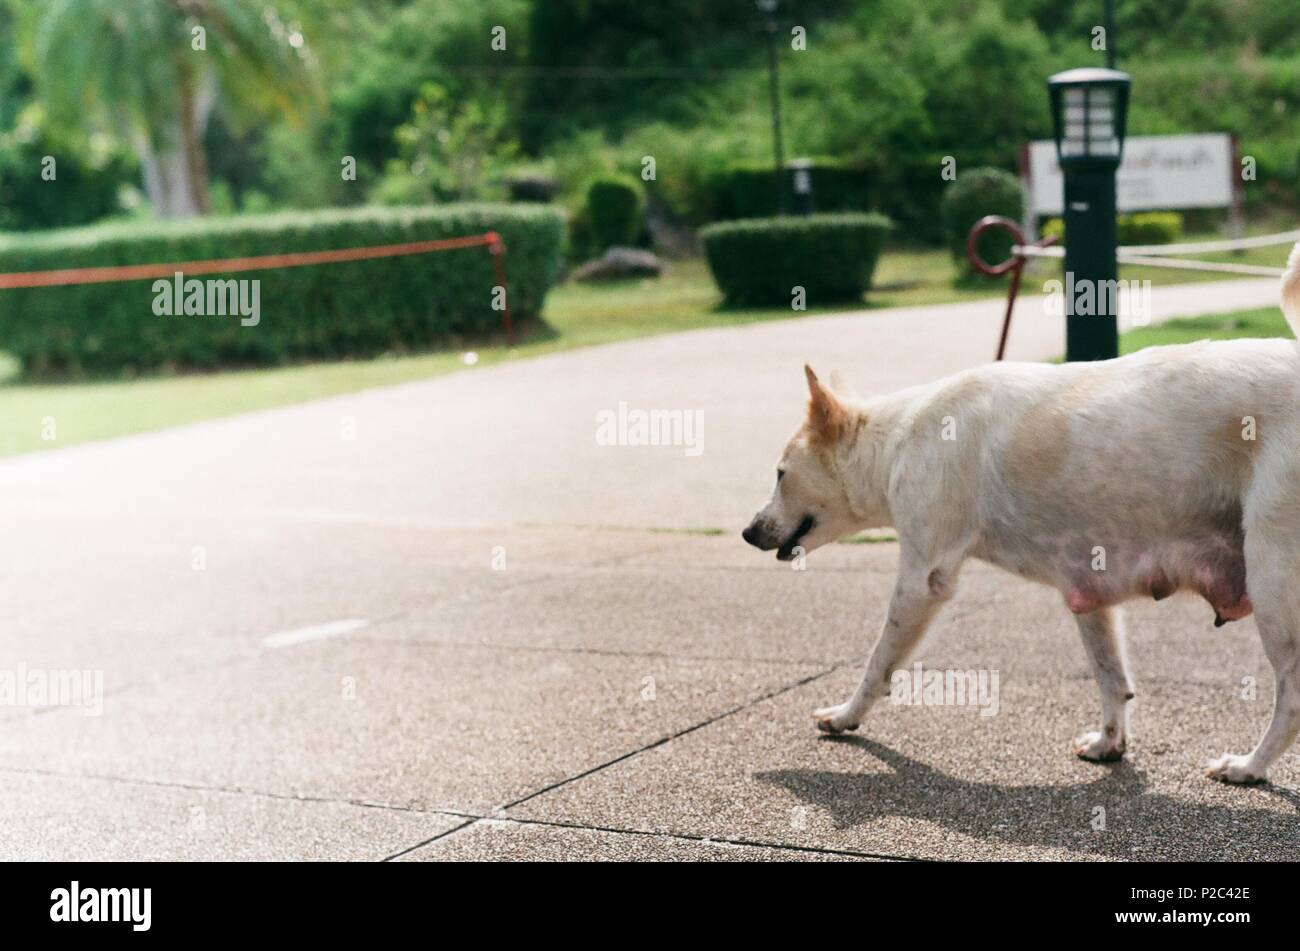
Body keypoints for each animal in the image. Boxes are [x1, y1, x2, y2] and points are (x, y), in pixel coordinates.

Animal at [743, 242, 1300, 779]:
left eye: (779, 474)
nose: (748, 531)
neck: (899, 437)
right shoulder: (1089, 593)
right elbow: (1111, 677)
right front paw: (1109, 743)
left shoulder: (922, 579)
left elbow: (878, 661)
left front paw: (845, 716)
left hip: (1274, 585)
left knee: (1291, 698)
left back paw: (1249, 767)